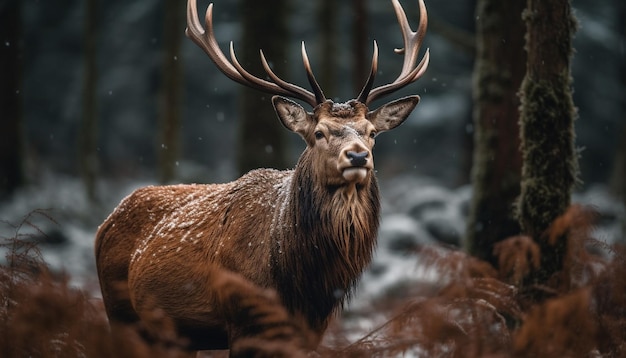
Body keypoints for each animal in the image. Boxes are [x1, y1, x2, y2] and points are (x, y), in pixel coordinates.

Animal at [95, 0, 426, 356]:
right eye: (319, 133)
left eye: (372, 132)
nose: (358, 156)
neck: (298, 282)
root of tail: (105, 222)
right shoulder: (242, 318)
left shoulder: (311, 329)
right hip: (120, 311)